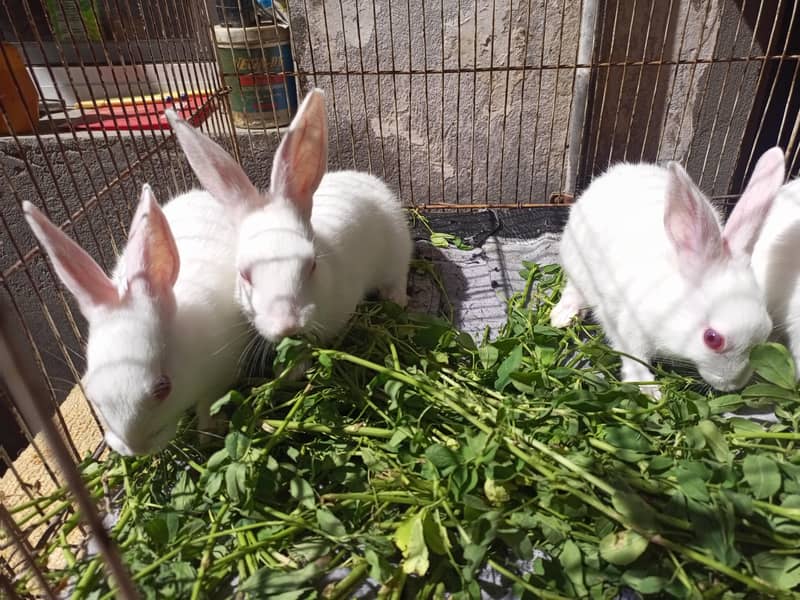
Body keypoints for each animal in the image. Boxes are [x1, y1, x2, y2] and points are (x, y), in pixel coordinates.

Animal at [23, 184, 249, 456]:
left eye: (163, 388)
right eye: (90, 392)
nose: (133, 450)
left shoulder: (222, 370)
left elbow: (208, 403)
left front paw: (208, 431)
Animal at [164, 88, 413, 346]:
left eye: (312, 265)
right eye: (244, 275)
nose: (287, 326)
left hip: (397, 248)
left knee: (398, 276)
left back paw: (396, 299)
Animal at [550, 147, 785, 396]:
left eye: (768, 329)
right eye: (712, 339)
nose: (733, 385)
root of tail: (616, 172)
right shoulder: (628, 326)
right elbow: (633, 356)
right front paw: (648, 390)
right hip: (576, 260)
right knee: (574, 288)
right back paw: (564, 316)